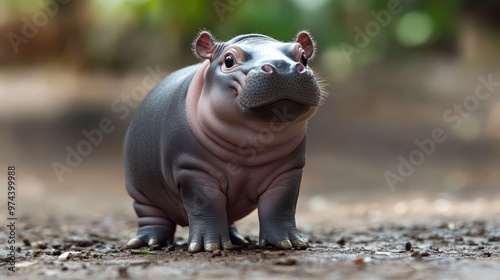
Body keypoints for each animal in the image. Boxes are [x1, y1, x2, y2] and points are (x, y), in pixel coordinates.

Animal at [124, 31, 324, 254]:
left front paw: (288, 242)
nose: (283, 67)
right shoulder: (193, 170)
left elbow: (279, 205)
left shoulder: (288, 171)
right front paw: (209, 246)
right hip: (142, 193)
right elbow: (206, 206)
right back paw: (149, 242)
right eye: (228, 60)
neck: (251, 146)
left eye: (303, 57)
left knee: (228, 215)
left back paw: (237, 239)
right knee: (152, 217)